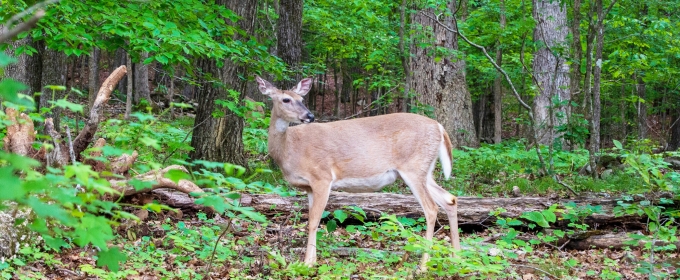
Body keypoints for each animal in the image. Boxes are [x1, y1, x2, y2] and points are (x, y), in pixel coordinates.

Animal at [255, 75, 462, 270]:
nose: (310, 115)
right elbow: (313, 220)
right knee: (450, 199)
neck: (290, 149)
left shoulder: (322, 177)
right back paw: (456, 257)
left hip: (414, 167)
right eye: (286, 99)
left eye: (301, 98)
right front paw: (312, 261)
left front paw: (307, 263)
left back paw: (424, 265)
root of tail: (439, 127)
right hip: (425, 170)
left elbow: (313, 221)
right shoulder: (309, 187)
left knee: (431, 208)